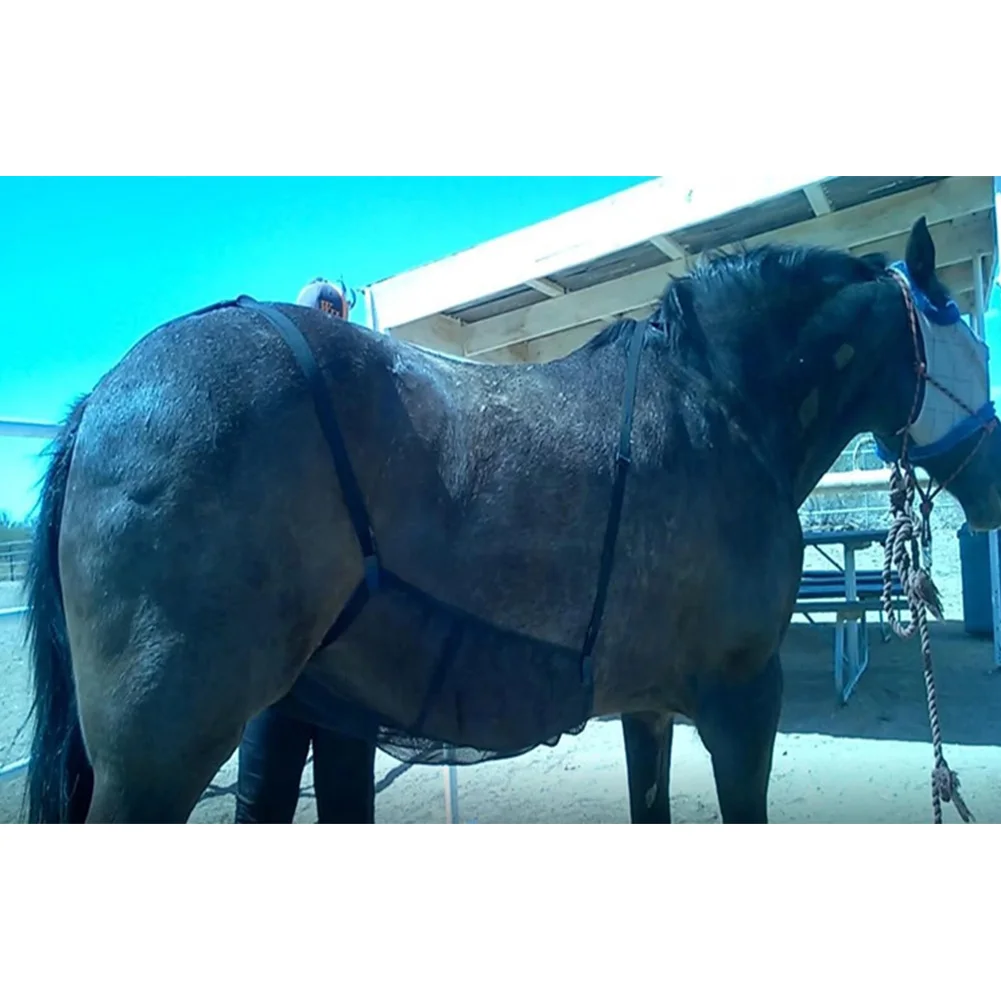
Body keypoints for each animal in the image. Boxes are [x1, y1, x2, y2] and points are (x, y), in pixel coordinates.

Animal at [24, 216, 1001, 823]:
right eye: (971, 337)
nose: (992, 481)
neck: (715, 407)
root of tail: (104, 395)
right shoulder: (738, 700)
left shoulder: (649, 708)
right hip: (161, 751)